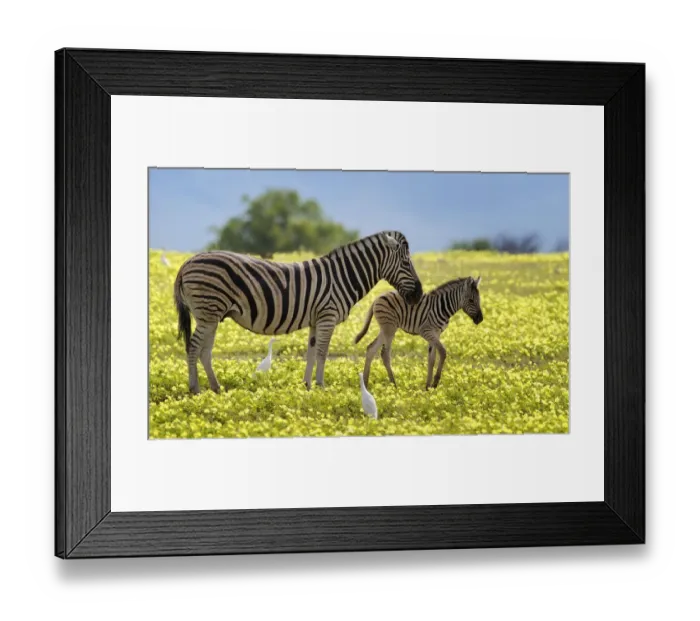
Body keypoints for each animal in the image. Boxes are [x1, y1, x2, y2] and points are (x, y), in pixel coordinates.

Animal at [173, 231, 423, 394]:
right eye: (406, 263)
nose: (419, 294)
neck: (342, 276)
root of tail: (187, 263)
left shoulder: (316, 319)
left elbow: (311, 353)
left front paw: (307, 386)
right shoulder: (327, 316)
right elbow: (322, 353)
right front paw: (321, 386)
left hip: (211, 315)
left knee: (205, 351)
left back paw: (216, 388)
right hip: (207, 312)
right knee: (193, 348)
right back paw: (195, 389)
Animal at [354, 275, 483, 390]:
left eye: (479, 300)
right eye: (471, 300)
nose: (480, 319)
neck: (442, 307)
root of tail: (379, 297)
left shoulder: (436, 333)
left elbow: (432, 359)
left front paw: (428, 386)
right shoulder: (426, 331)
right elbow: (443, 352)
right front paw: (435, 383)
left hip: (386, 328)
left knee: (371, 348)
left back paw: (365, 383)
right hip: (389, 328)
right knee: (385, 354)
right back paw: (394, 385)